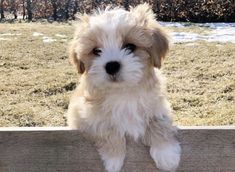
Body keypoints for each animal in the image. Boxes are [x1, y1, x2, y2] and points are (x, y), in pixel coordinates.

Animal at [67, 3, 181, 172]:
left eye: (130, 46)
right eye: (96, 51)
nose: (111, 65)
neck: (123, 92)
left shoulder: (159, 106)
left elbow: (159, 121)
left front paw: (166, 154)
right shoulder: (83, 116)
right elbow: (106, 128)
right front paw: (113, 160)